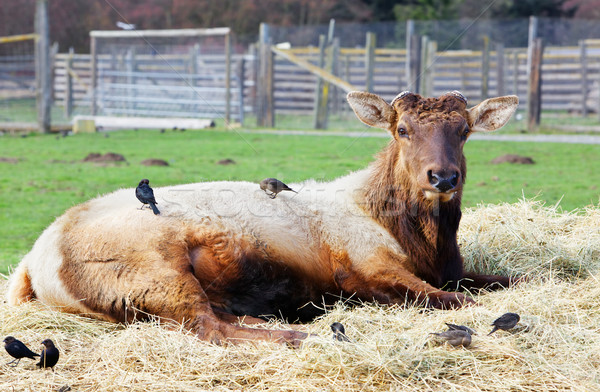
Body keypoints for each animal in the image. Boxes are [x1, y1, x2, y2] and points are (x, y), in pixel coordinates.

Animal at [7, 91, 516, 346]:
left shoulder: (454, 269)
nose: (443, 176)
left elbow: (507, 280)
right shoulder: (364, 269)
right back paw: (294, 335)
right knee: (207, 328)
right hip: (153, 271)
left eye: (464, 130)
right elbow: (457, 302)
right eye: (403, 130)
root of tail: (30, 266)